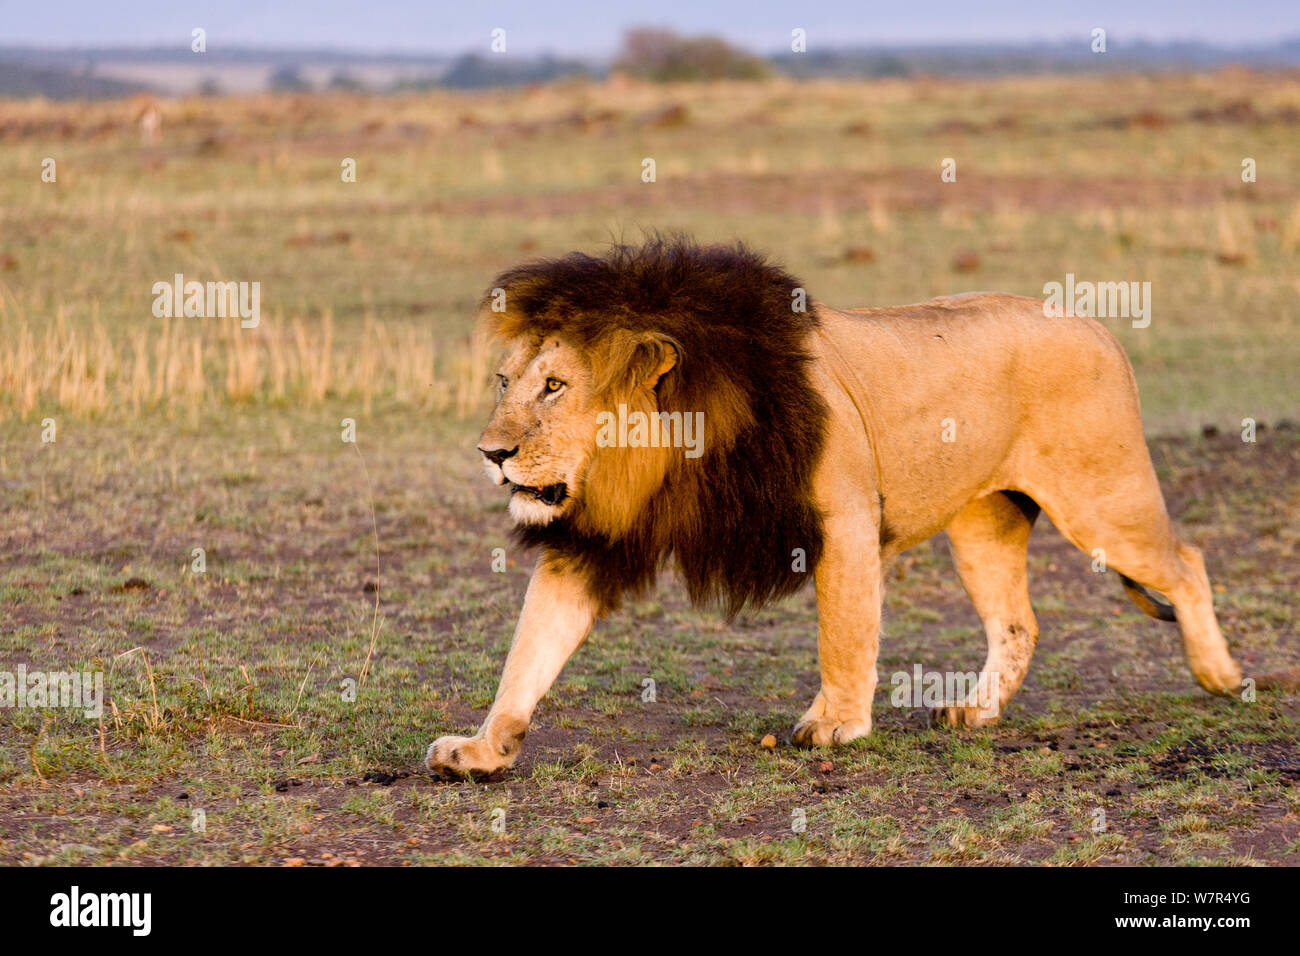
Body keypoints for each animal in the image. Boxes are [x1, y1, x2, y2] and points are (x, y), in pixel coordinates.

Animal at [426, 236, 1245, 777]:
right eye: (504, 382)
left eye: (555, 387)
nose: (490, 453)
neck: (670, 454)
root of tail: (1093, 321)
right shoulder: (589, 542)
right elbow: (529, 651)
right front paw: (483, 747)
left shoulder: (842, 518)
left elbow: (844, 634)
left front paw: (835, 726)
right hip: (985, 522)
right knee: (1019, 623)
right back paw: (977, 711)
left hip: (1102, 500)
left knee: (1188, 561)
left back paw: (1222, 678)